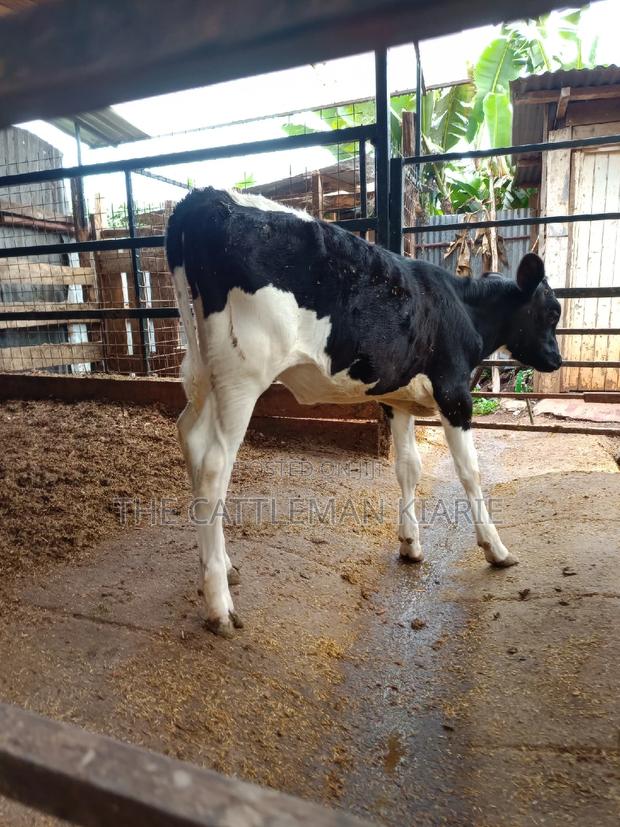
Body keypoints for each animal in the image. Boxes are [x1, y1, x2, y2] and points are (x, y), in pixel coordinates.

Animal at [165, 187, 562, 637]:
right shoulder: (455, 394)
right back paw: (219, 604)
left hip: (202, 369)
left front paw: (410, 544)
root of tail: (204, 197)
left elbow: (408, 467)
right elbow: (470, 472)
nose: (557, 359)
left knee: (189, 435)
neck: (461, 307)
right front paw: (495, 549)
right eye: (552, 311)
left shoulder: (396, 400)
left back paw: (221, 566)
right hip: (242, 375)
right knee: (215, 464)